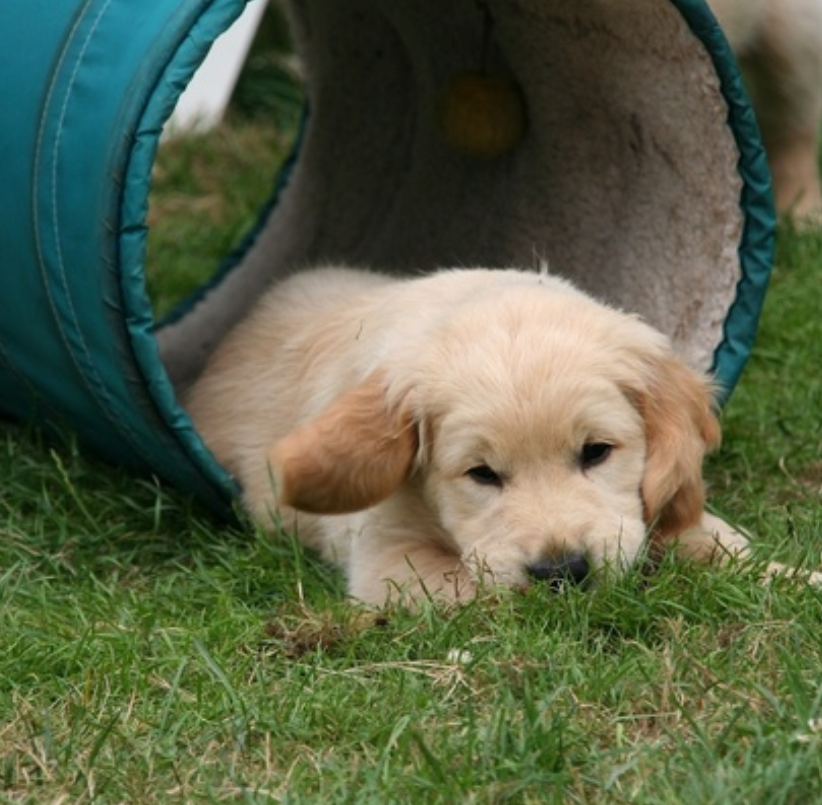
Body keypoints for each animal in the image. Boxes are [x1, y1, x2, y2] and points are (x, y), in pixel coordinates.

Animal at [183, 266, 784, 608]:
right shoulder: (389, 559)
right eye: (482, 474)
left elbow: (718, 543)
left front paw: (785, 576)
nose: (562, 572)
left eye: (596, 452)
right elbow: (483, 592)